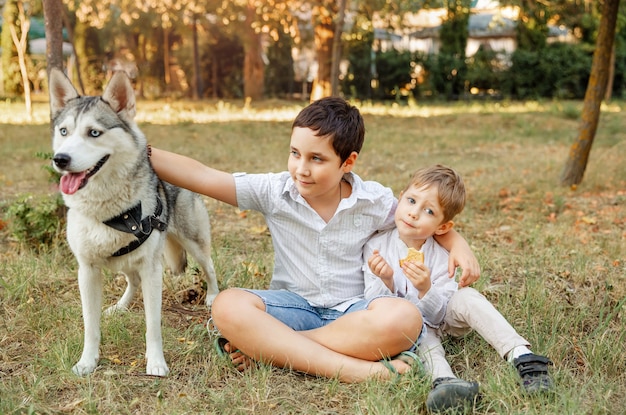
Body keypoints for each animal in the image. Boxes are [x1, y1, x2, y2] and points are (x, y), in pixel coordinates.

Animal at [47, 69, 217, 376]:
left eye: (94, 133)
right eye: (64, 131)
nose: (60, 159)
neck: (110, 211)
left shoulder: (152, 269)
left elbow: (153, 325)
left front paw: (156, 362)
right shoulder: (87, 270)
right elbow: (90, 325)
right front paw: (87, 361)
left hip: (193, 243)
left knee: (210, 268)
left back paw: (212, 296)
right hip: (122, 259)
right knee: (132, 280)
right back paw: (120, 307)